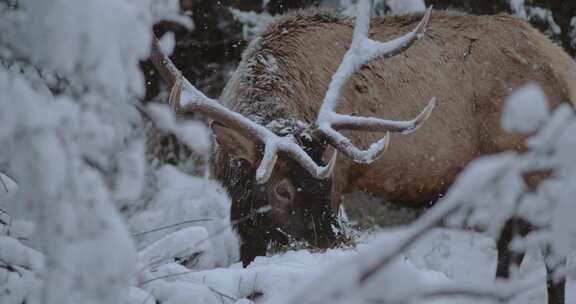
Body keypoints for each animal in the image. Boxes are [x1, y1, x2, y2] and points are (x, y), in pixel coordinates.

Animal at [150, 1, 576, 302]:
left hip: (538, 164)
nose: (326, 246)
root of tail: (563, 63)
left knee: (550, 252)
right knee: (512, 247)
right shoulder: (243, 219)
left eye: (326, 185)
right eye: (282, 190)